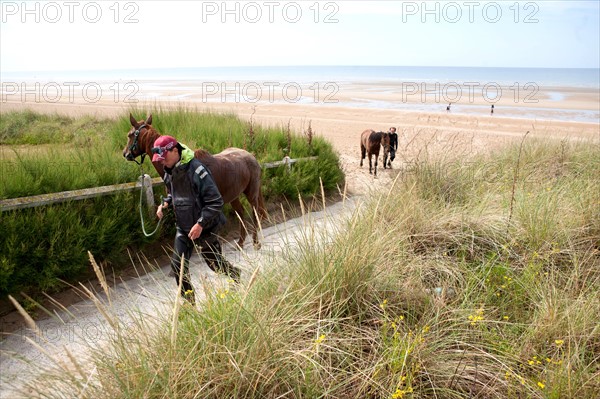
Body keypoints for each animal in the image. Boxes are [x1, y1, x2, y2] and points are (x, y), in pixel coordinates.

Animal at [123, 114, 266, 248]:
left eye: (130, 135)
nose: (125, 154)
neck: (179, 166)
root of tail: (252, 156)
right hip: (234, 196)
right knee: (241, 213)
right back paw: (240, 242)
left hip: (251, 194)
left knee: (255, 214)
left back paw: (256, 242)